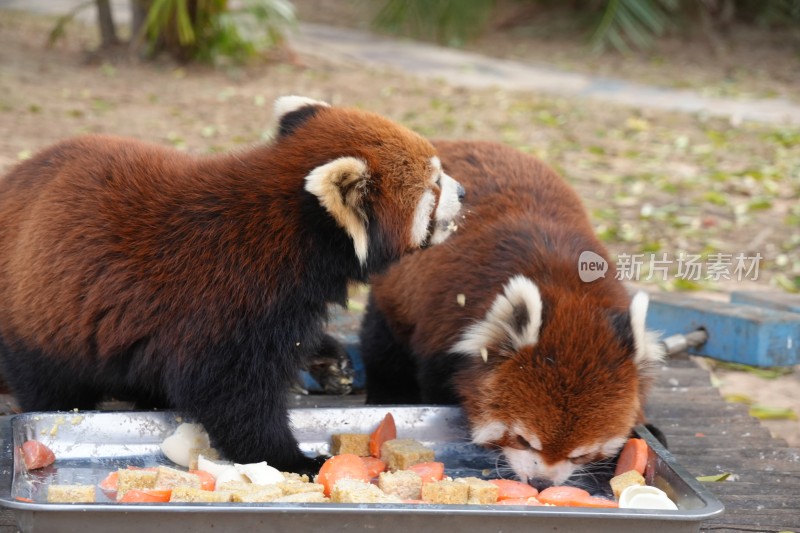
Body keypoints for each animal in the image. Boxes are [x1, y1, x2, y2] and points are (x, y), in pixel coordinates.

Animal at [0, 96, 462, 474]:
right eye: (435, 184)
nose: (464, 192)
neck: (293, 233)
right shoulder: (229, 300)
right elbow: (228, 395)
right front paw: (293, 460)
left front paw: (330, 360)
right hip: (39, 319)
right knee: (50, 384)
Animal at [360, 140, 664, 486]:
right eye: (522, 440)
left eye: (580, 454)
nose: (542, 482)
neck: (568, 289)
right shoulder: (445, 324)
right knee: (383, 347)